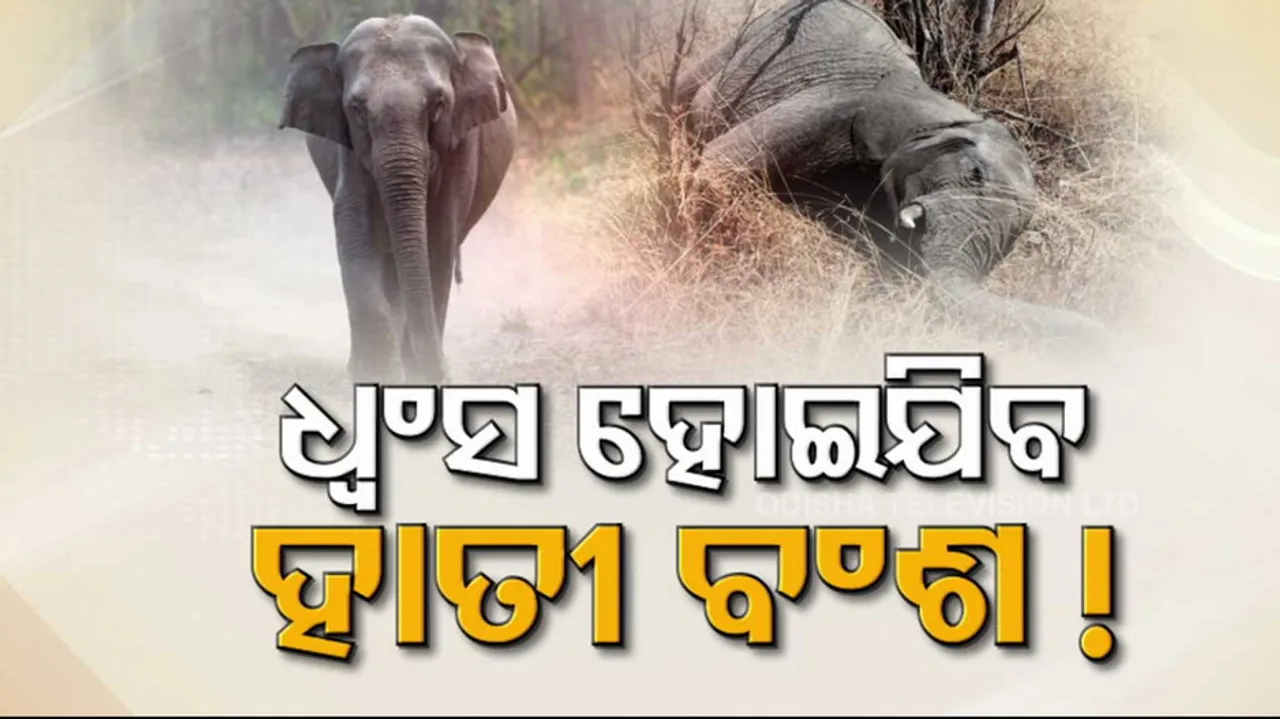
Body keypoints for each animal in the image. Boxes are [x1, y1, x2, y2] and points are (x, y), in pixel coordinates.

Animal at [279, 14, 518, 384]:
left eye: (439, 104)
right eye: (356, 109)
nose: (445, 375)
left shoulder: (460, 147)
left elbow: (437, 242)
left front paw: (416, 376)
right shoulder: (349, 150)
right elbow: (355, 233)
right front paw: (376, 373)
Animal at [662, 0, 1112, 347]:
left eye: (1014, 237)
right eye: (973, 174)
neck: (944, 111)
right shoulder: (833, 109)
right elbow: (719, 165)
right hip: (752, 35)